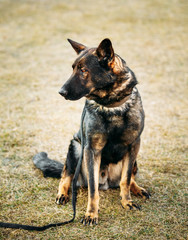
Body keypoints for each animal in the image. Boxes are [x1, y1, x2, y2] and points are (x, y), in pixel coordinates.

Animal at [35, 39, 151, 225]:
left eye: (83, 71)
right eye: (73, 69)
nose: (61, 92)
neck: (111, 106)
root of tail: (107, 182)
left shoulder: (134, 145)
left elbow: (125, 179)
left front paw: (127, 201)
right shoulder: (91, 150)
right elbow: (92, 188)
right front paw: (91, 214)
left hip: (134, 160)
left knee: (129, 178)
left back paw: (138, 189)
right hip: (76, 148)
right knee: (66, 175)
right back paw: (62, 193)